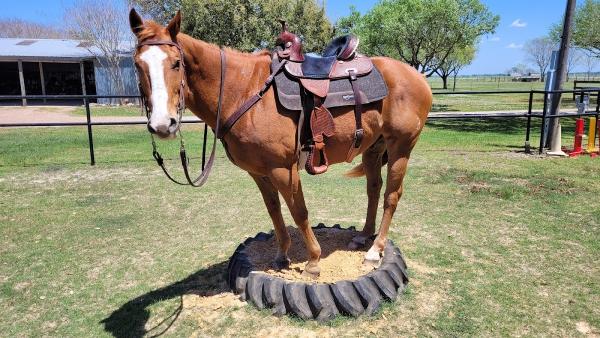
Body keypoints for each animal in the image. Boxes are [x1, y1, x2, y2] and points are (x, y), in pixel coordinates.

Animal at [130, 9, 432, 278]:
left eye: (176, 63)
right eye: (137, 64)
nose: (162, 124)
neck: (244, 91)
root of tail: (416, 75)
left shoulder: (283, 169)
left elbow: (299, 212)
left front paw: (313, 261)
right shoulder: (259, 172)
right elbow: (274, 210)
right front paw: (282, 254)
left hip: (400, 147)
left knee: (391, 195)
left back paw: (374, 251)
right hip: (373, 148)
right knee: (373, 189)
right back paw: (363, 236)